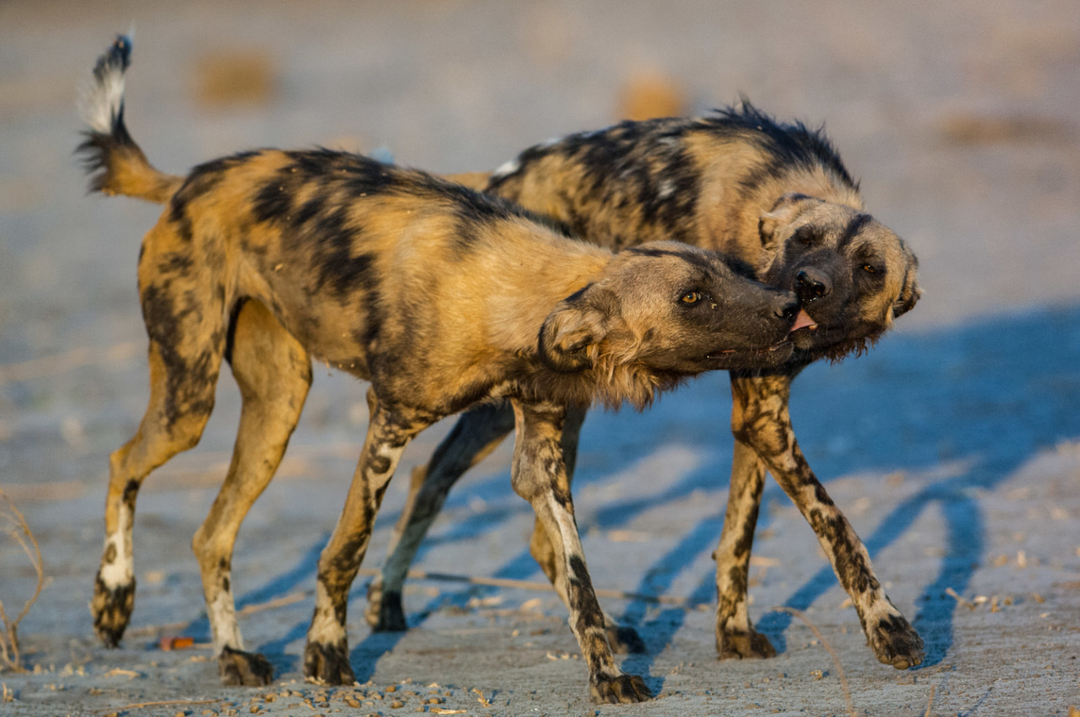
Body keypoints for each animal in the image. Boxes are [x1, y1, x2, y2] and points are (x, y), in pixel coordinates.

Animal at [78, 36, 812, 704]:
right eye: (693, 299)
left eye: (732, 272)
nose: (789, 303)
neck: (512, 297)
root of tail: (188, 181)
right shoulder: (389, 420)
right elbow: (347, 548)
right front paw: (326, 654)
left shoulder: (540, 454)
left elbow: (578, 576)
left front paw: (607, 674)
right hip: (190, 399)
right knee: (121, 462)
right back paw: (114, 598)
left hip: (276, 412)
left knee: (211, 534)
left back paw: (232, 654)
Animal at [367, 107, 924, 673]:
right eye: (804, 241)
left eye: (869, 268)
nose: (808, 285)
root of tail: (495, 184)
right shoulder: (764, 417)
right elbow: (836, 524)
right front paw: (887, 624)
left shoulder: (760, 417)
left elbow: (739, 534)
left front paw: (733, 629)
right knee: (464, 493)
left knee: (449, 487)